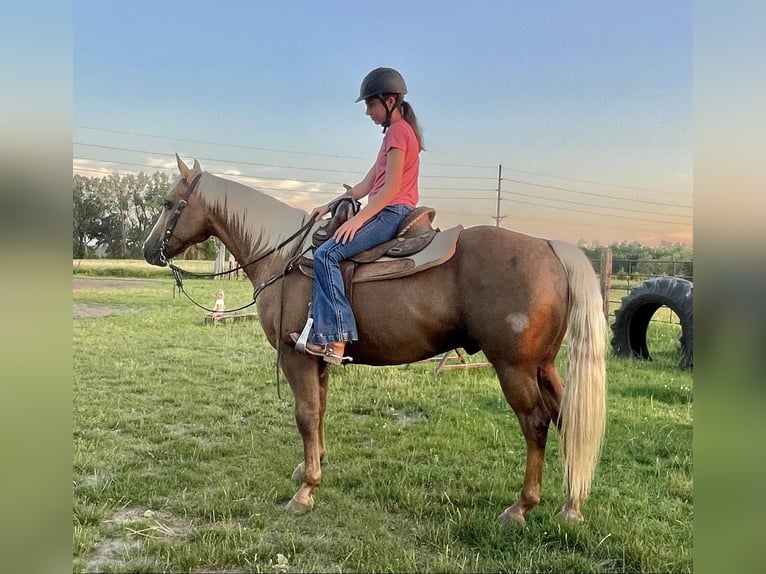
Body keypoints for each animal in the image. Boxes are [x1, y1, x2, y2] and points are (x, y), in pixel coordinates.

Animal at [142, 155, 607, 525]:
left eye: (168, 203)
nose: (148, 251)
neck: (283, 257)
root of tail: (549, 246)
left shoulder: (295, 358)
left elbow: (305, 415)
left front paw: (305, 492)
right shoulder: (316, 358)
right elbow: (320, 411)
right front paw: (309, 469)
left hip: (514, 367)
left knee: (536, 422)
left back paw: (521, 507)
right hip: (543, 364)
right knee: (567, 417)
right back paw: (571, 506)